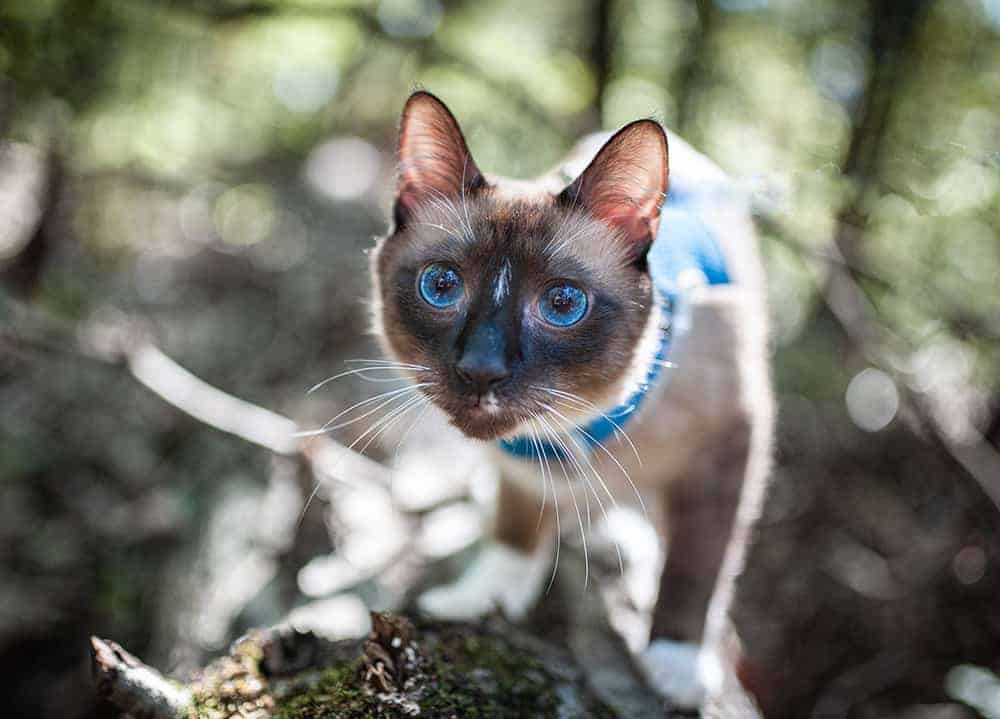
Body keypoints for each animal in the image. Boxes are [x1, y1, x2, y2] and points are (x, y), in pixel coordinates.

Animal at [368, 91, 772, 716]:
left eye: (562, 303)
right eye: (441, 286)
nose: (480, 368)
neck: (570, 434)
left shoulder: (731, 441)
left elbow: (698, 565)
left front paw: (676, 662)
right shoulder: (515, 464)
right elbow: (513, 528)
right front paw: (485, 598)